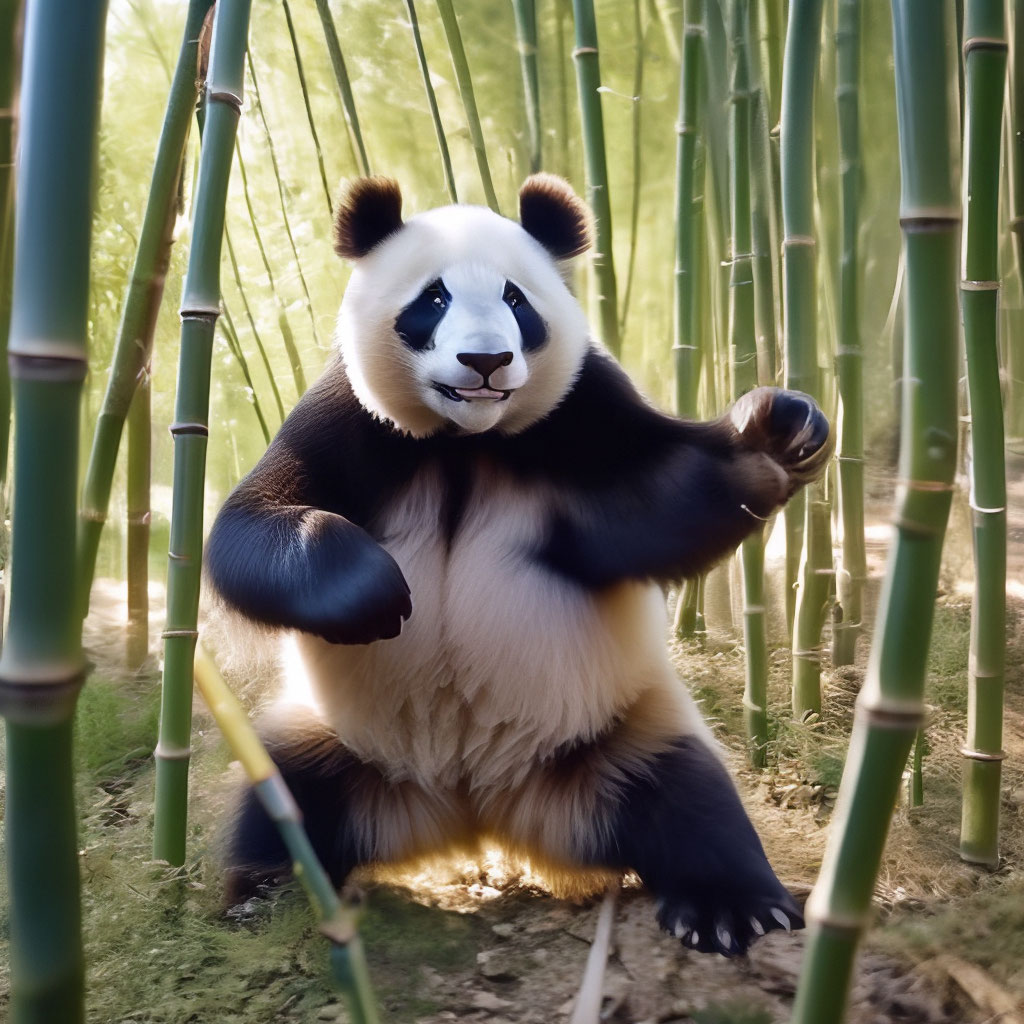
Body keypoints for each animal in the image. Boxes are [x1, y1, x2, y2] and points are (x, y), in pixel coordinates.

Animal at [205, 169, 831, 958]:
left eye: (515, 300)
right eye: (433, 299)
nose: (485, 362)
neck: (464, 443)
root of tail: (476, 809)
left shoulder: (582, 413)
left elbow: (662, 500)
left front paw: (777, 433)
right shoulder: (344, 417)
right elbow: (248, 526)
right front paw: (373, 593)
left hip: (619, 725)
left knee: (688, 796)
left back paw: (733, 908)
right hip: (335, 739)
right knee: (285, 801)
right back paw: (265, 900)